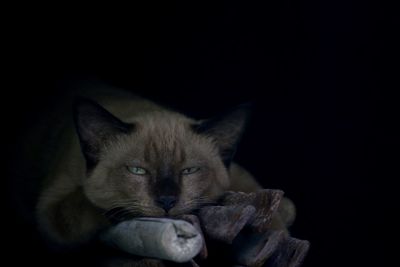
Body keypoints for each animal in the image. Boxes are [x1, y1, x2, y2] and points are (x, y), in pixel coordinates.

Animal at [14, 84, 294, 267]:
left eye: (189, 170)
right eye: (138, 171)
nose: (167, 201)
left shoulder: (240, 178)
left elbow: (273, 210)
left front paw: (274, 242)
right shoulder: (52, 212)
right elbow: (93, 204)